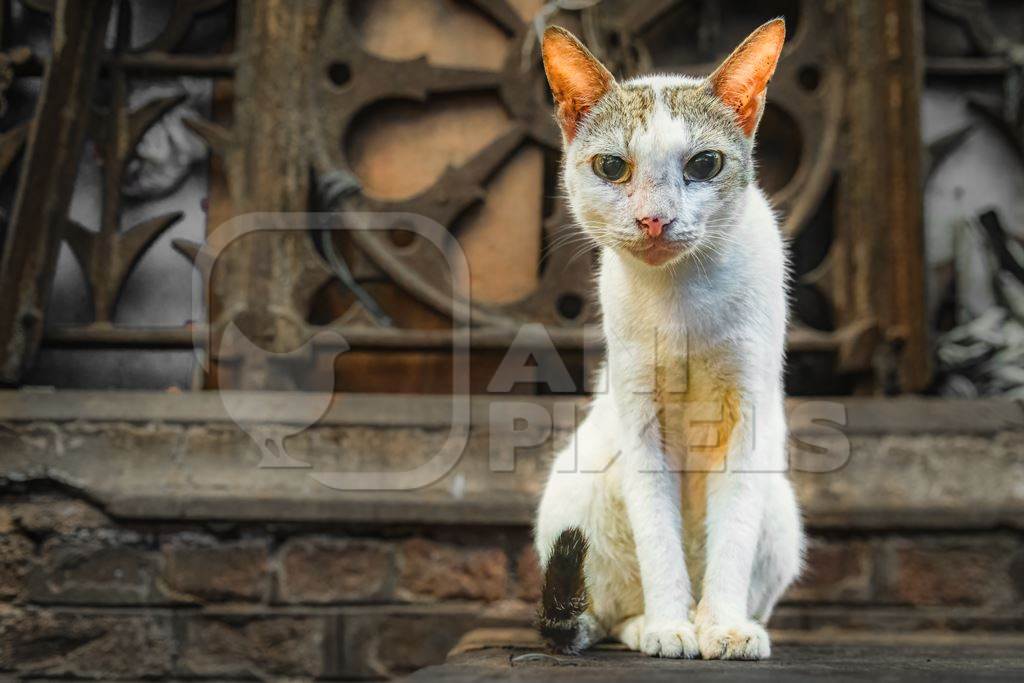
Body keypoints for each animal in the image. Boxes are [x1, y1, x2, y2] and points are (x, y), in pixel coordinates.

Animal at [532, 18, 802, 663]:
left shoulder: (748, 415)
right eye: (612, 168)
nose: (655, 218)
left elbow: (731, 537)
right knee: (602, 616)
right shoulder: (639, 417)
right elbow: (659, 536)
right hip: (576, 489)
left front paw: (725, 628)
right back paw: (652, 625)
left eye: (704, 164)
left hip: (781, 508)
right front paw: (668, 626)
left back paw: (718, 619)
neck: (683, 301)